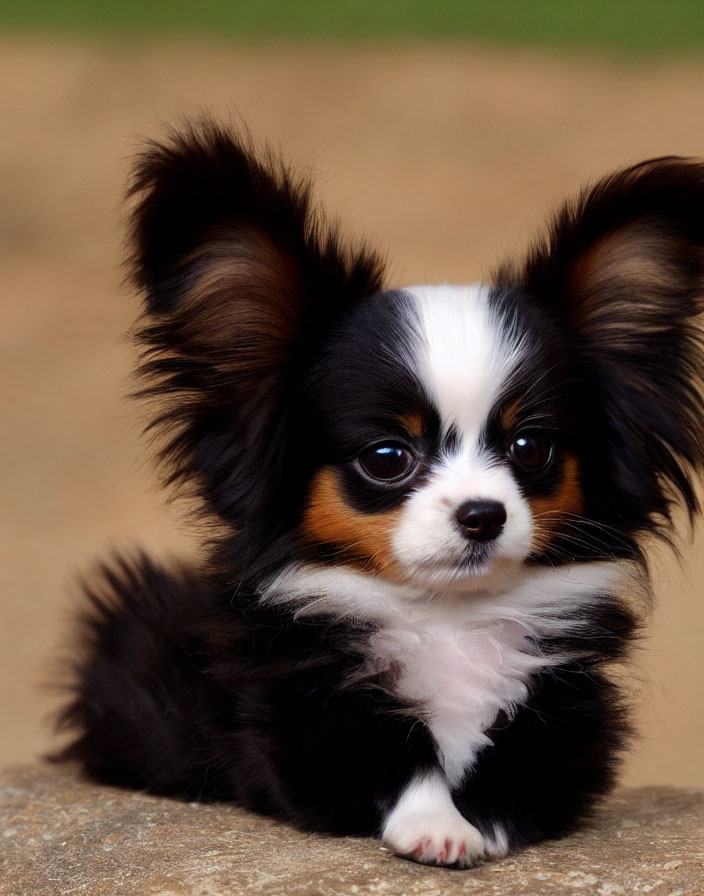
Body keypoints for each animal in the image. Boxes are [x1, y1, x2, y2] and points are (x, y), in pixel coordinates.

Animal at [56, 122, 704, 864]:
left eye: (531, 449)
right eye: (387, 458)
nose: (483, 515)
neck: (447, 616)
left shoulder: (566, 710)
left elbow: (519, 774)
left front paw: (476, 822)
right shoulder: (299, 715)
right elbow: (397, 761)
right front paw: (438, 826)